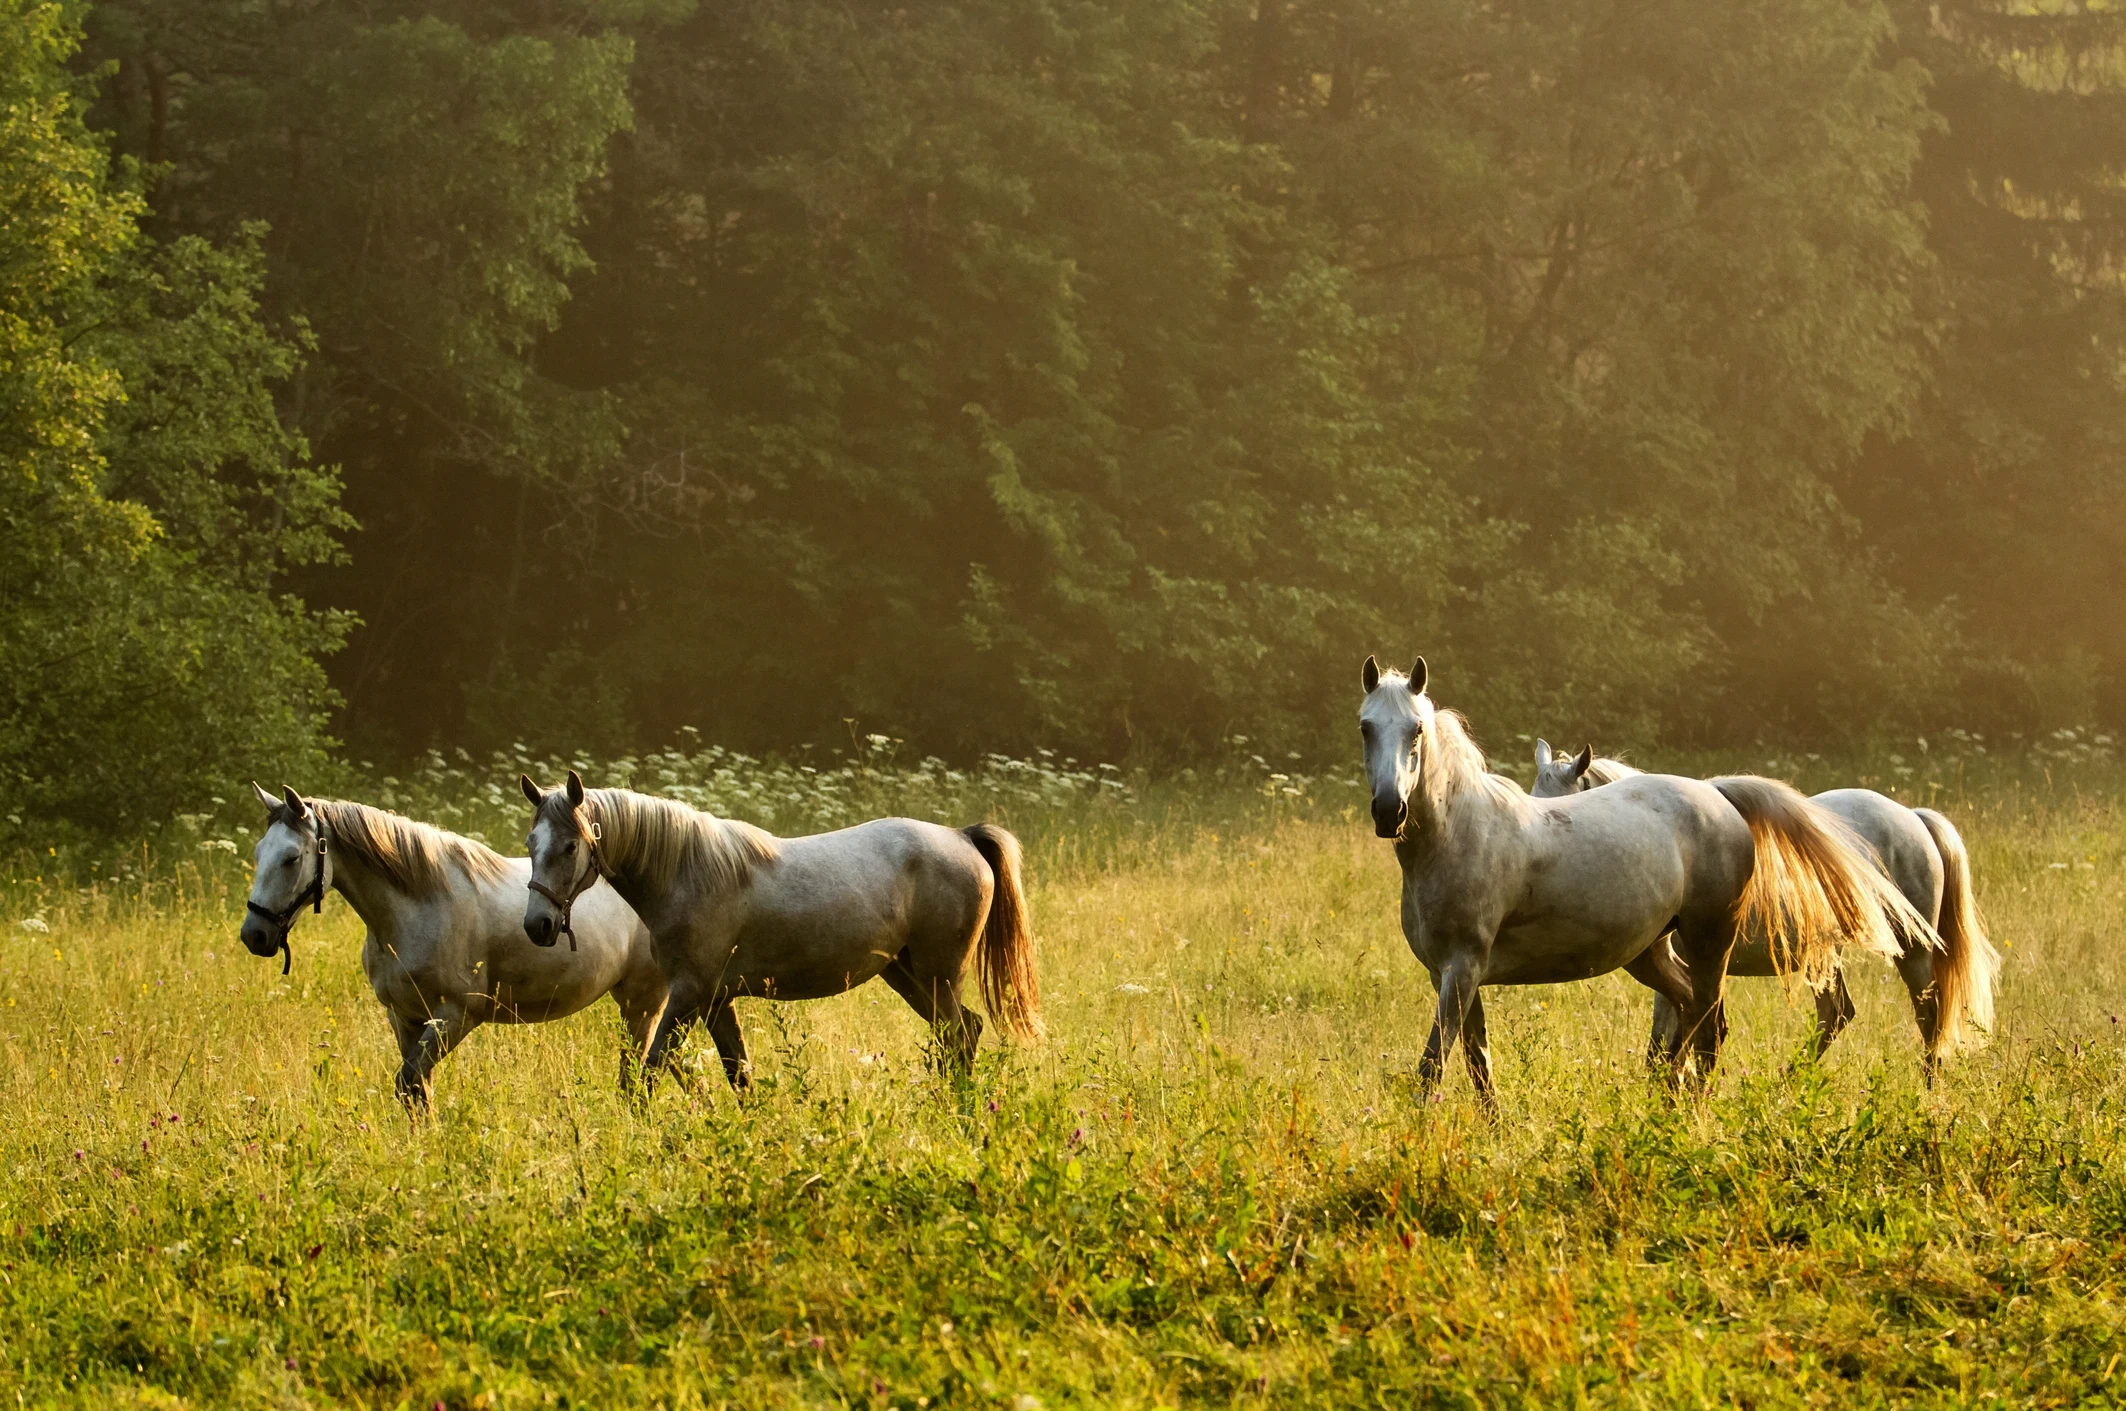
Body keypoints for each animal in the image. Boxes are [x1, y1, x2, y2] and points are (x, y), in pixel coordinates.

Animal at [239, 784, 667, 1108]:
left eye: (291, 858)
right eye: (259, 853)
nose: (253, 935)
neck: (421, 906)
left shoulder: (456, 1016)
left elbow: (409, 1082)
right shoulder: (404, 1017)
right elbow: (417, 1091)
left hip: (642, 1005)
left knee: (637, 1075)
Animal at [518, 771, 1041, 1092]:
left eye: (570, 846)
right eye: (530, 841)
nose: (537, 925)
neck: (687, 873)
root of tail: (962, 836)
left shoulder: (687, 996)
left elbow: (649, 1074)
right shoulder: (715, 1001)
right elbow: (738, 1075)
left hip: (938, 975)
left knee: (960, 1037)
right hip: (908, 975)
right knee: (963, 1034)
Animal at [1357, 657, 1938, 1102]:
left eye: (1416, 730)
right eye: (1366, 726)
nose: (1389, 810)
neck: (1460, 835)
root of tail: (1721, 800)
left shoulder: (1463, 967)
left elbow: (1433, 1066)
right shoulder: (1452, 974)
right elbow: (1478, 1064)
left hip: (1714, 946)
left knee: (1711, 1025)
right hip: (1654, 954)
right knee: (1697, 1017)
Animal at [1529, 742, 1998, 1077]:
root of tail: (1914, 817)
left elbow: (1672, 1041)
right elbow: (1669, 1042)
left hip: (1912, 952)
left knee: (1928, 1020)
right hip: (1824, 956)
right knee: (1838, 1015)